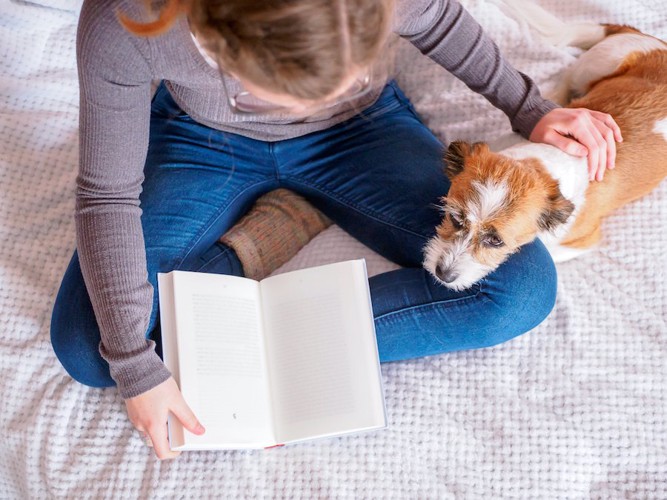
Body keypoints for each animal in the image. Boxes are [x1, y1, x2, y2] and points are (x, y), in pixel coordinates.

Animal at [426, 3, 664, 292]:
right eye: (456, 218)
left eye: (496, 241)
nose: (443, 274)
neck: (541, 166)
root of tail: (647, 37)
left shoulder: (583, 240)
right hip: (596, 65)